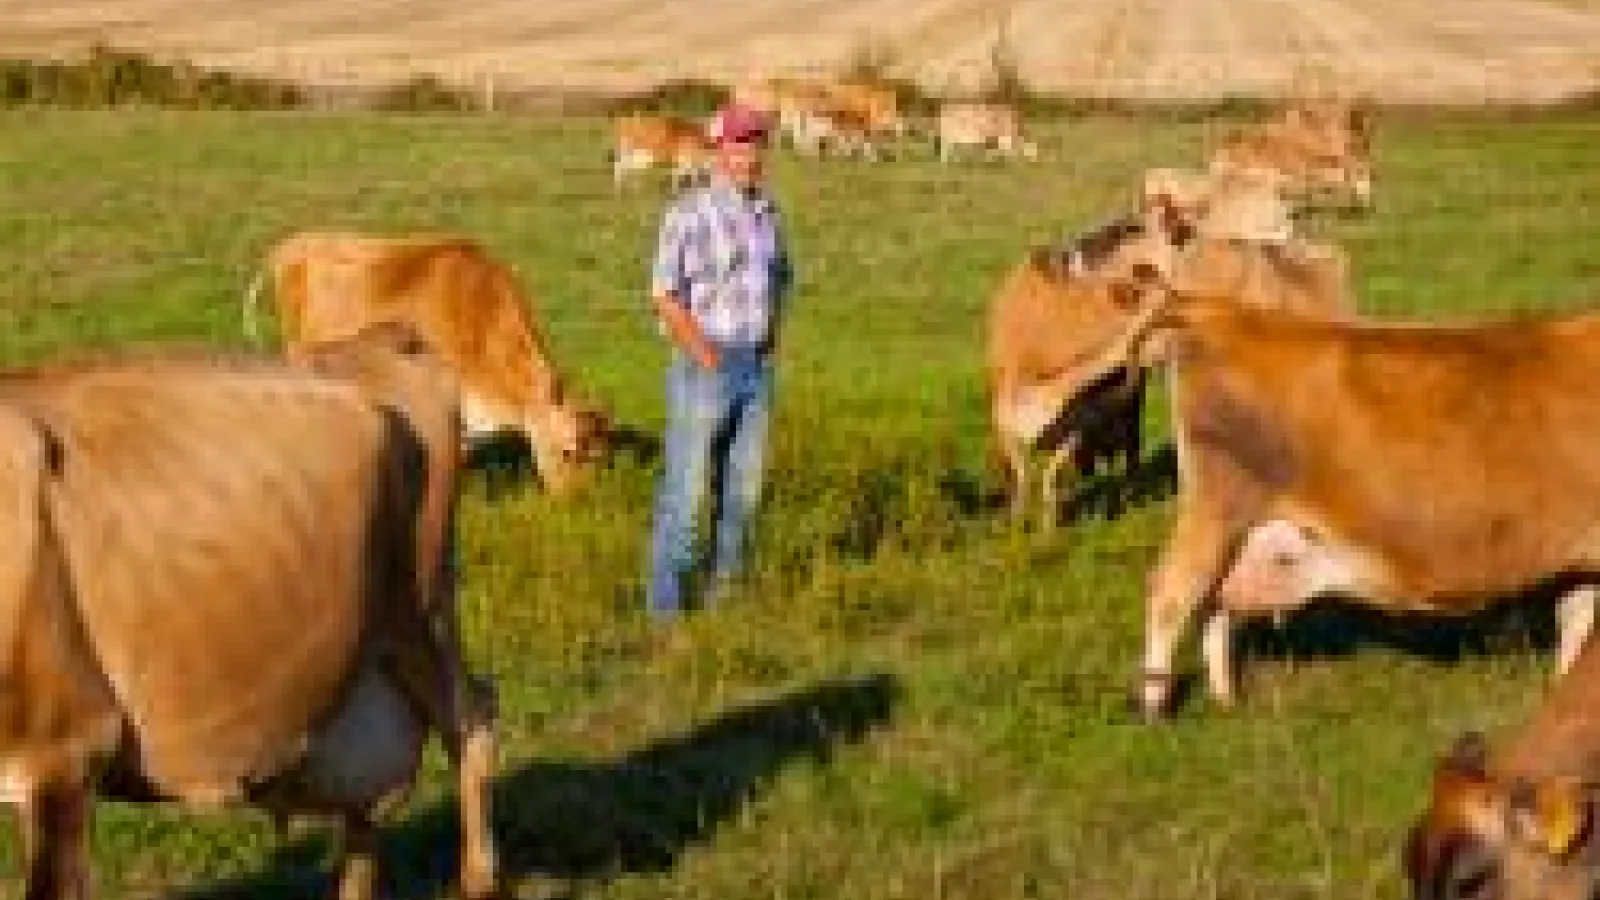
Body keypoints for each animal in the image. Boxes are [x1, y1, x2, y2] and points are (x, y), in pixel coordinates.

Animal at [0, 343, 497, 900]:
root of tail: (381, 341)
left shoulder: (66, 751)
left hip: (423, 612)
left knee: (471, 722)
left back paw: (479, 879)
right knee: (365, 800)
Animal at [1069, 282, 1600, 719]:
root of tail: (1219, 311)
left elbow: (1575, 625)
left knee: (1217, 597)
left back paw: (1225, 699)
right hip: (1219, 507)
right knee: (1174, 589)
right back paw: (1154, 706)